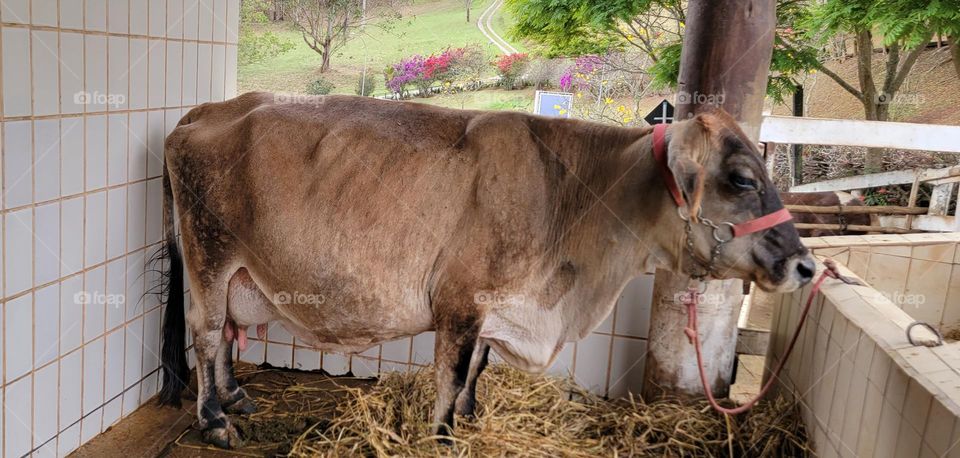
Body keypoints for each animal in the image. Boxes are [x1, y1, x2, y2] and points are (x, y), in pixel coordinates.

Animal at [156, 92, 815, 448]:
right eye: (742, 178)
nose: (805, 264)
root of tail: (211, 107)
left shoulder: (497, 307)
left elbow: (478, 367)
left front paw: (473, 419)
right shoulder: (461, 302)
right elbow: (450, 379)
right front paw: (444, 437)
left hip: (236, 272)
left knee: (225, 336)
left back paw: (236, 396)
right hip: (210, 255)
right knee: (206, 333)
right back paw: (215, 421)